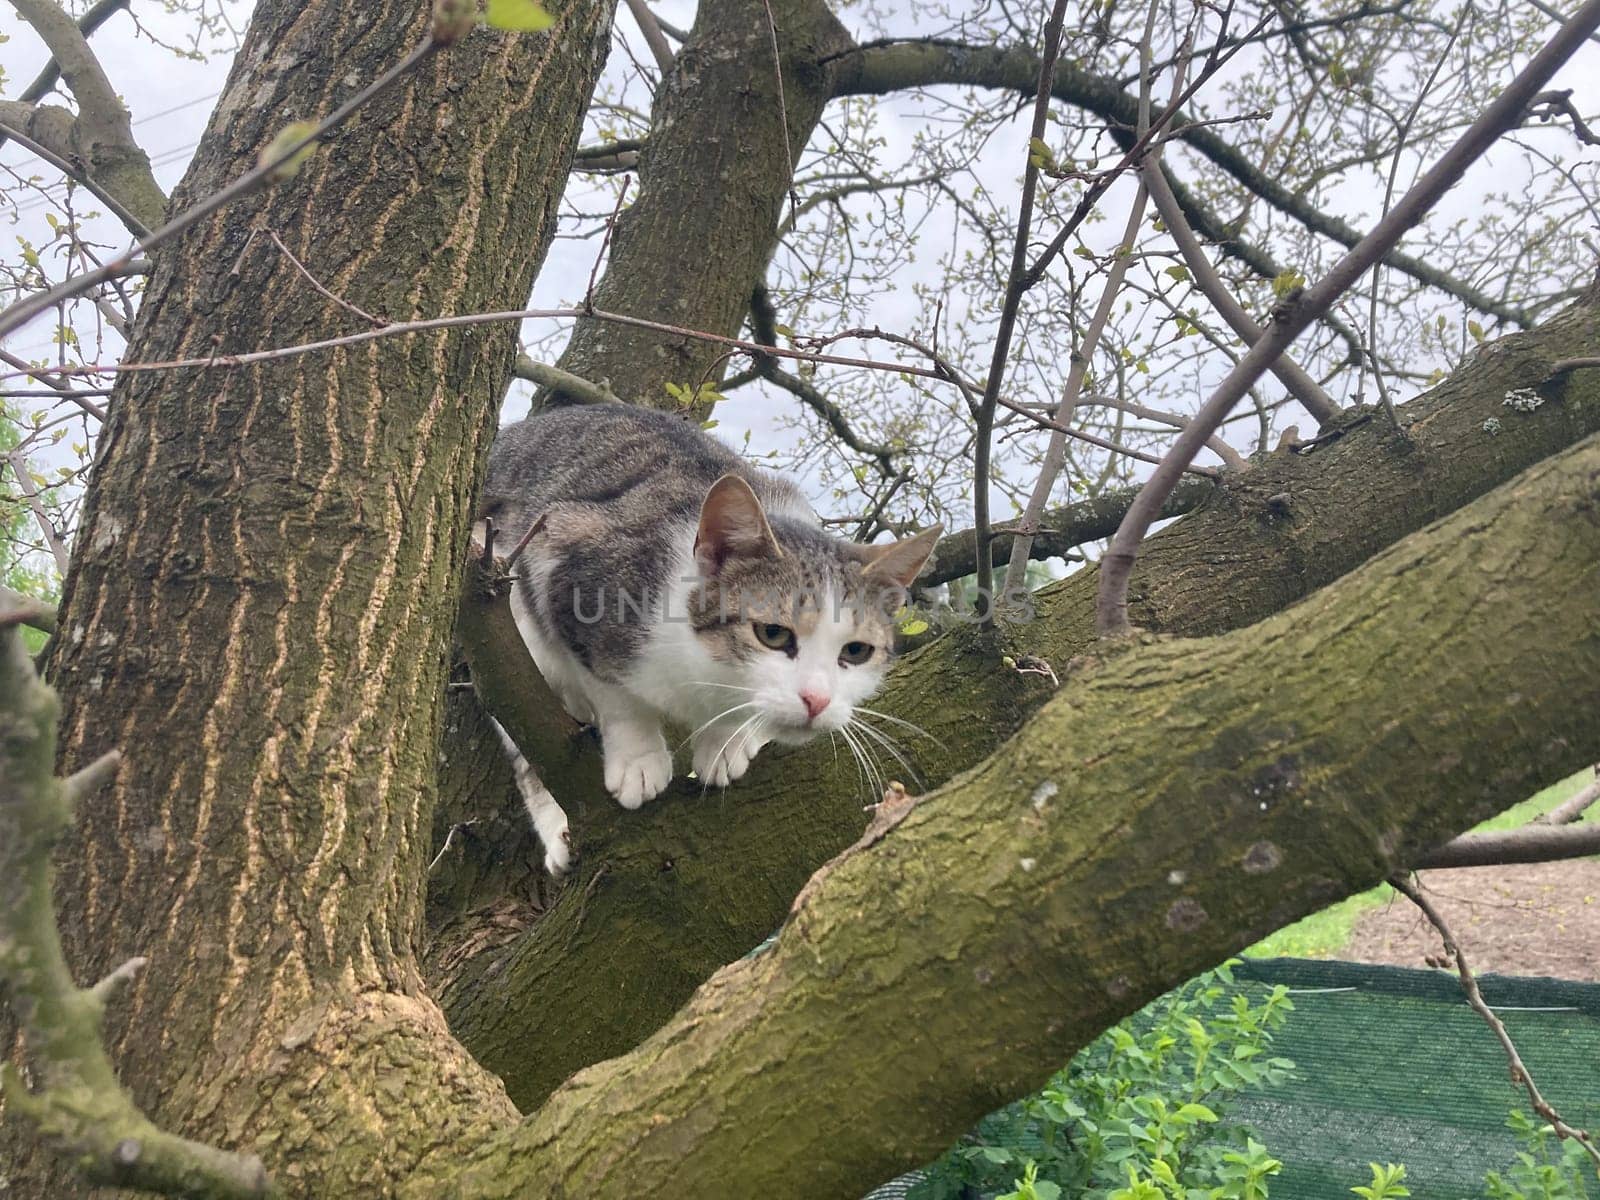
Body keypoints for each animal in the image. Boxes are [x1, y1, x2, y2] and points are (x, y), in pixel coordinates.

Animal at [473, 404, 934, 876]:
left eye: (856, 652)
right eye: (773, 634)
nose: (817, 700)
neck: (702, 671)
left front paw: (726, 741)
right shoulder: (568, 561)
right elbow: (614, 693)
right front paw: (638, 759)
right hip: (506, 613)